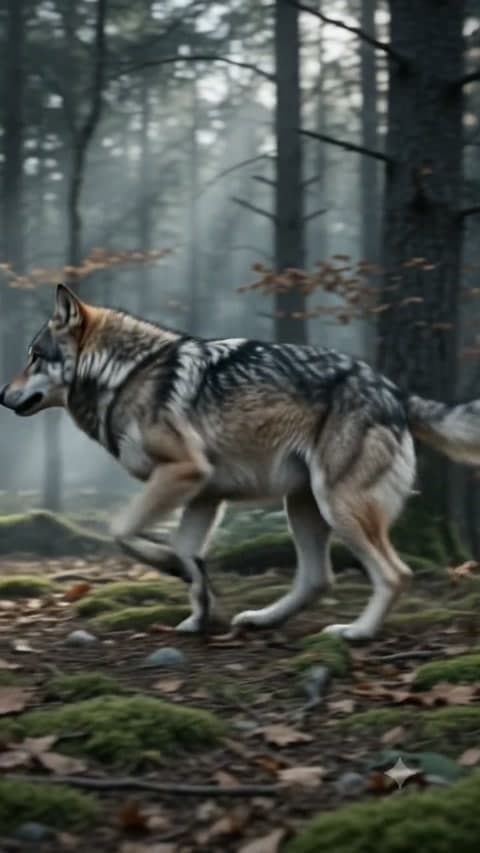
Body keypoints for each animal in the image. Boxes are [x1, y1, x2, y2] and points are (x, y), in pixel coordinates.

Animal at [2, 284, 480, 641]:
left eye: (35, 356)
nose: (3, 395)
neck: (124, 374)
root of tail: (393, 390)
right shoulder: (204, 492)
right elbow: (186, 552)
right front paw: (198, 610)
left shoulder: (183, 471)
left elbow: (122, 531)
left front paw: (173, 568)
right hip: (303, 506)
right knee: (318, 579)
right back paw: (262, 619)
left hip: (337, 507)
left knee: (395, 574)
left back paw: (355, 632)